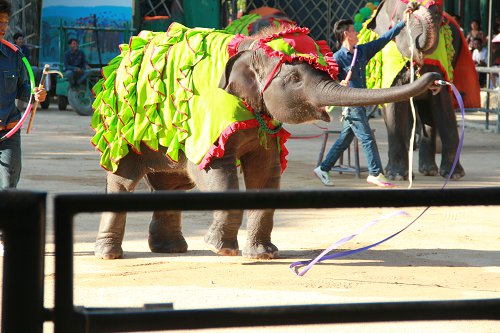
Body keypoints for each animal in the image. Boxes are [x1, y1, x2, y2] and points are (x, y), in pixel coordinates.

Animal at [92, 22, 440, 260]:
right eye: (295, 78)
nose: (435, 78)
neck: (250, 46)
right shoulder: (208, 118)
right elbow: (214, 172)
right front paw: (222, 249)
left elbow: (266, 172)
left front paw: (264, 254)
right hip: (122, 129)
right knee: (123, 180)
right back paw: (109, 254)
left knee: (172, 185)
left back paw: (172, 249)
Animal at [360, 0, 476, 179]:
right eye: (401, 19)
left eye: (438, 15)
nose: (413, 6)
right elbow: (394, 106)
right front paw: (397, 176)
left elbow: (443, 103)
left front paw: (454, 175)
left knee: (429, 113)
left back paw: (429, 171)